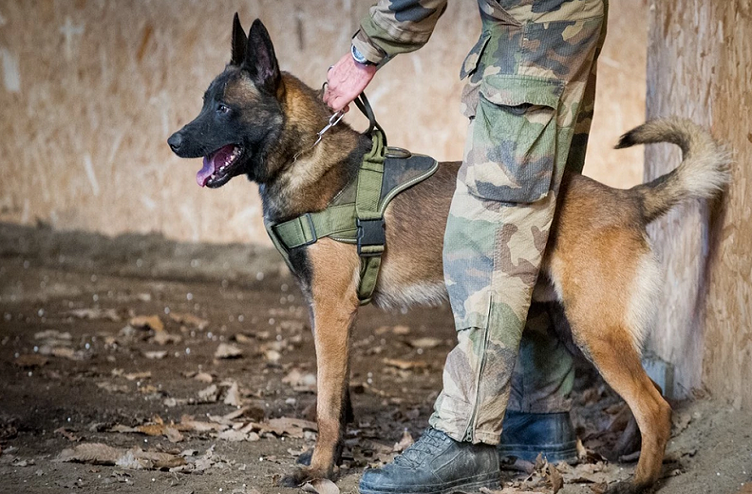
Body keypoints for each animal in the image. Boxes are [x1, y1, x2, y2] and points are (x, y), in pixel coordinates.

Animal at [167, 15, 732, 494]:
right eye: (203, 101)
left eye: (222, 108)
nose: (172, 141)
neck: (306, 155)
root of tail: (628, 198)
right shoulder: (328, 315)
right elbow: (340, 400)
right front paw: (333, 459)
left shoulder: (331, 310)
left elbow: (326, 405)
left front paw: (319, 470)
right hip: (573, 325)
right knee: (647, 400)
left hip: (595, 330)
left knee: (655, 407)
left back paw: (640, 481)